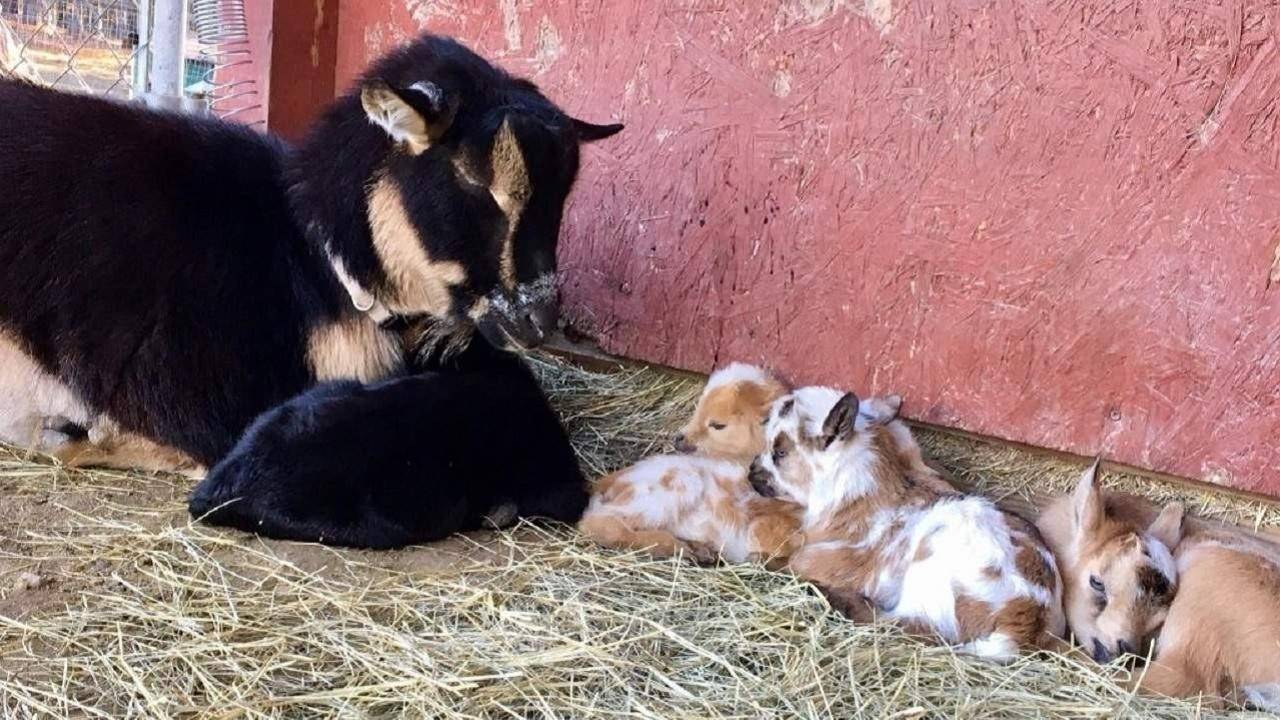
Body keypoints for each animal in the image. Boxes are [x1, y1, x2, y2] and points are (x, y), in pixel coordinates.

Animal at [750, 388, 1066, 662]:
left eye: (780, 452)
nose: (751, 473)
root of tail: (1023, 624)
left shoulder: (822, 559)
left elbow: (789, 563)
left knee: (907, 626)